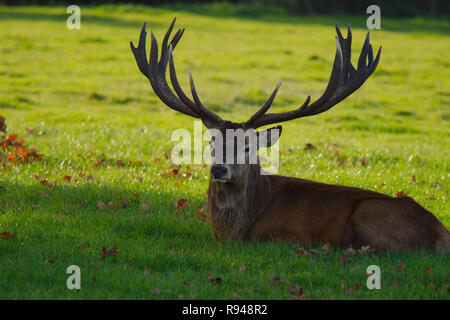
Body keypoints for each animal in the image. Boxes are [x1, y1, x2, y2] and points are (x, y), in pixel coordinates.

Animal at [129, 18, 446, 251]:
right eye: (212, 141)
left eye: (248, 145)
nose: (219, 170)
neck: (233, 232)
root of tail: (444, 234)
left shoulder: (286, 236)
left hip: (370, 213)